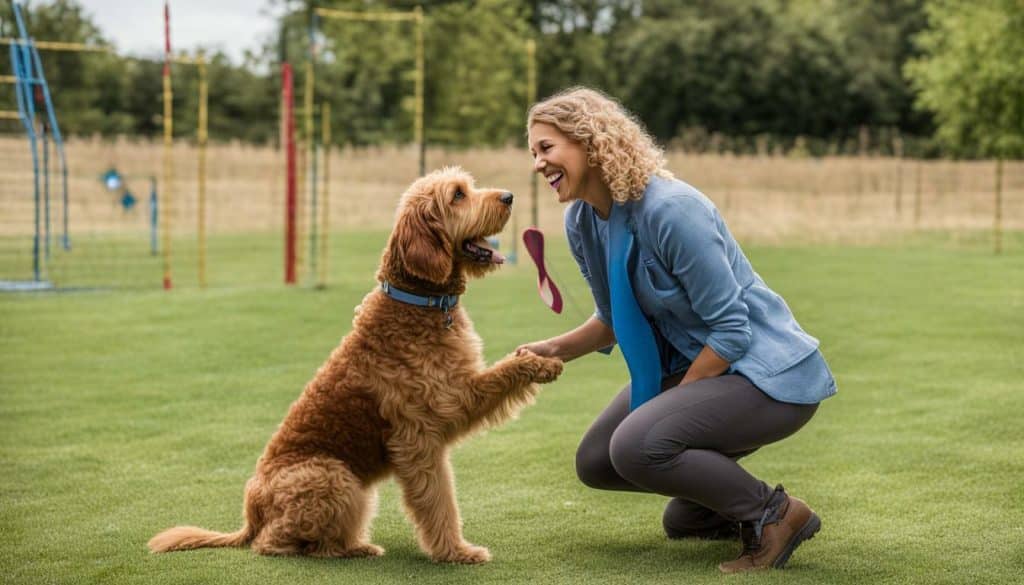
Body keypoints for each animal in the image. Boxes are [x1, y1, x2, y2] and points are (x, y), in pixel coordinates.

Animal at [148, 166, 565, 565]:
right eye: (458, 195)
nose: (509, 196)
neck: (417, 303)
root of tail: (250, 513)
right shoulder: (430, 424)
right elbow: (439, 501)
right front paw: (456, 552)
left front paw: (540, 357)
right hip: (333, 477)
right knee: (272, 544)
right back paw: (339, 549)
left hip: (355, 492)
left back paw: (355, 546)